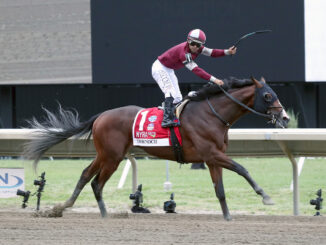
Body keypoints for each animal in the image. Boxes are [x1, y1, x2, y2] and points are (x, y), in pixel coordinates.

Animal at [23, 76, 290, 220]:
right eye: (268, 96)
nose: (285, 118)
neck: (211, 114)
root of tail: (100, 116)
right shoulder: (212, 154)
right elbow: (242, 169)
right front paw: (265, 196)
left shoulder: (213, 158)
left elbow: (220, 190)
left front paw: (227, 216)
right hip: (112, 156)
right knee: (96, 181)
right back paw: (94, 212)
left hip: (107, 155)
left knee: (86, 175)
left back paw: (70, 207)